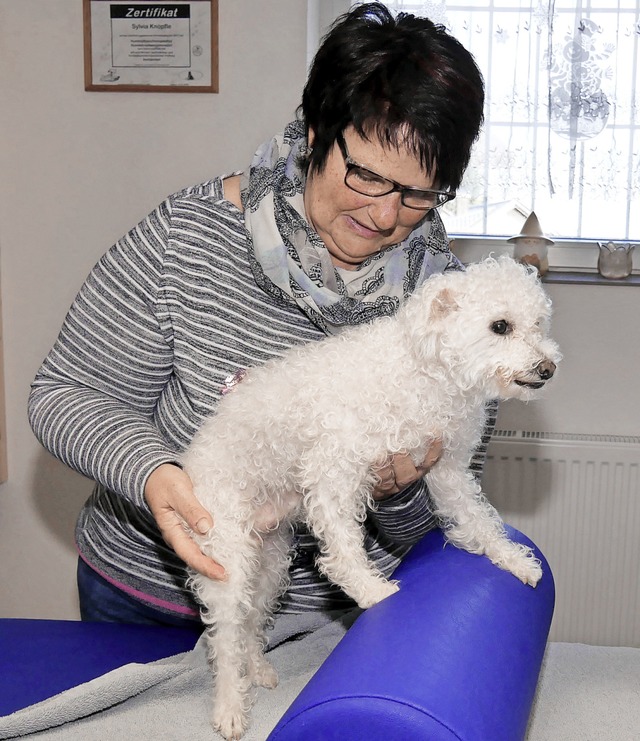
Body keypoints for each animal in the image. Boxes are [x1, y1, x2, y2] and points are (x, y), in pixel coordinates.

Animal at [180, 254, 560, 736]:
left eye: (538, 323)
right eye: (500, 326)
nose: (548, 368)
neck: (423, 371)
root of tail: (193, 461)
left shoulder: (448, 473)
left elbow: (479, 522)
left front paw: (513, 559)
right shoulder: (333, 468)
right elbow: (343, 549)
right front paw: (371, 591)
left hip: (268, 563)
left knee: (250, 624)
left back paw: (257, 670)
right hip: (226, 554)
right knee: (226, 636)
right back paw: (230, 705)